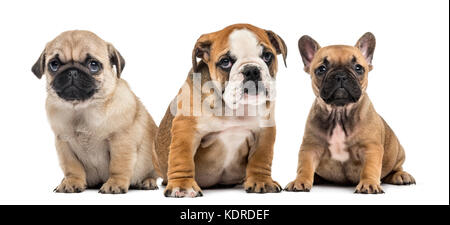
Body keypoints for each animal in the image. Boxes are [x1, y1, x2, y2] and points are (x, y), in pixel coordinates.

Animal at [31, 30, 159, 194]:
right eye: (54, 64)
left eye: (93, 65)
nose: (72, 72)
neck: (82, 109)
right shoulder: (64, 144)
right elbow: (72, 167)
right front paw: (71, 182)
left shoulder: (121, 141)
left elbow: (118, 165)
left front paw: (115, 184)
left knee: (151, 174)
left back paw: (147, 182)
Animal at [155, 23, 288, 198]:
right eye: (225, 62)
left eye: (267, 56)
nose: (251, 70)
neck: (235, 109)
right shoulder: (186, 129)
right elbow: (182, 158)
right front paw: (183, 185)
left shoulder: (265, 131)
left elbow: (261, 158)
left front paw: (262, 181)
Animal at [284, 32, 414, 194]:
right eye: (321, 69)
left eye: (358, 68)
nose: (340, 75)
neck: (339, 113)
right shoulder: (310, 147)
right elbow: (304, 166)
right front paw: (300, 181)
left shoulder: (371, 148)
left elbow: (370, 168)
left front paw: (368, 183)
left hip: (397, 151)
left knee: (394, 168)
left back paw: (400, 175)